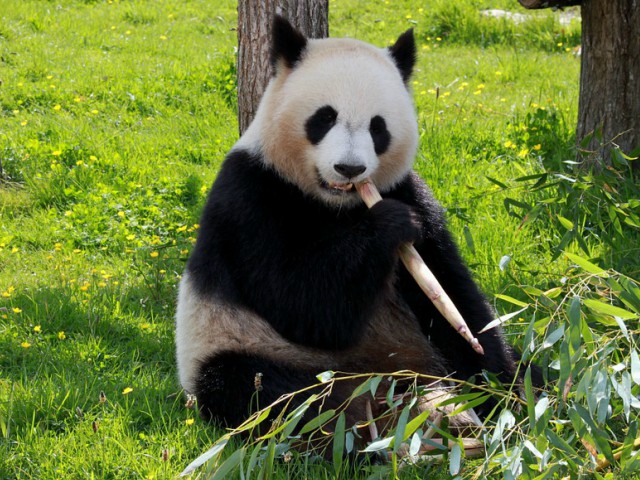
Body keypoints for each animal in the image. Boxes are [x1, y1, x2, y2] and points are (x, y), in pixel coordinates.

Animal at [175, 16, 519, 434]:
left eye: (378, 127)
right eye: (324, 118)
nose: (350, 168)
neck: (337, 204)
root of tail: (389, 376)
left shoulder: (409, 191)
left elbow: (451, 295)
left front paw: (497, 385)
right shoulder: (251, 197)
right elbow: (302, 304)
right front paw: (389, 224)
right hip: (242, 346)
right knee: (264, 392)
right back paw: (362, 426)